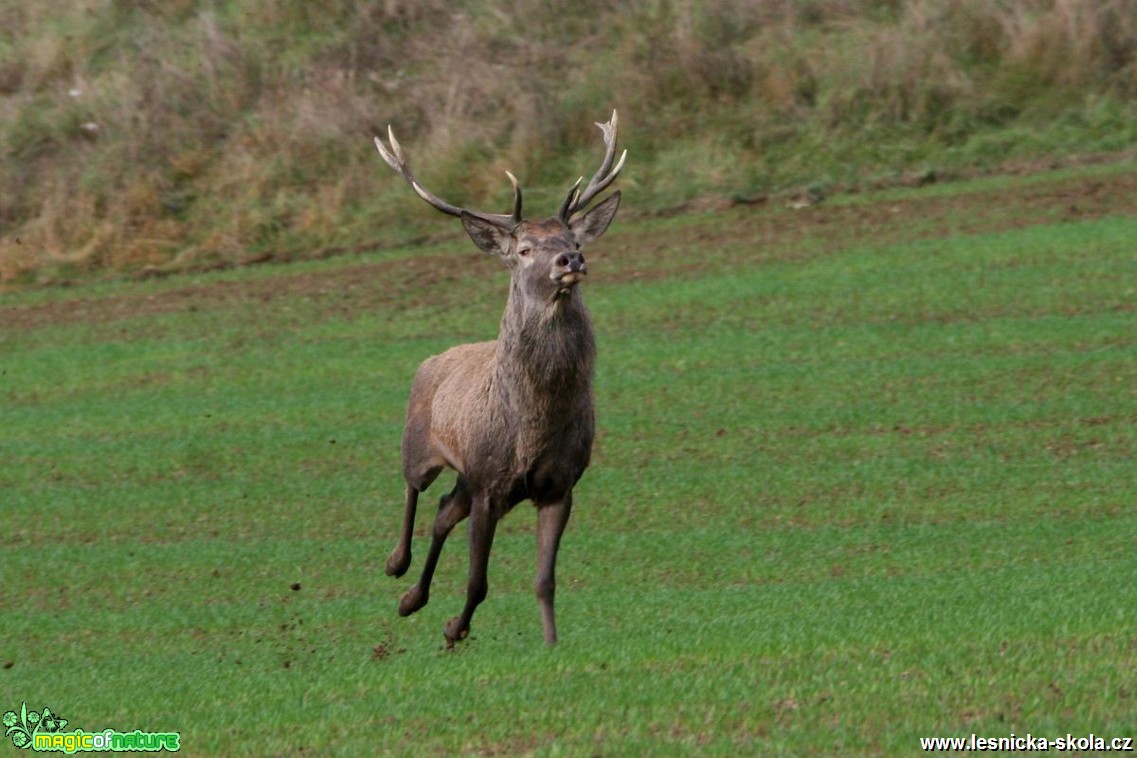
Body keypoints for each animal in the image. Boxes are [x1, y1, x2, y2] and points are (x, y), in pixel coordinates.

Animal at [370, 111, 623, 645]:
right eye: (524, 249)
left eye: (573, 241)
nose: (571, 260)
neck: (533, 423)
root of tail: (434, 358)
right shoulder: (489, 481)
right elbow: (478, 580)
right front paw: (455, 628)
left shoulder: (559, 484)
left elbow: (545, 579)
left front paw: (551, 644)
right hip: (421, 445)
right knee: (414, 488)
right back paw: (396, 566)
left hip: (468, 478)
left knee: (445, 510)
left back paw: (411, 599)